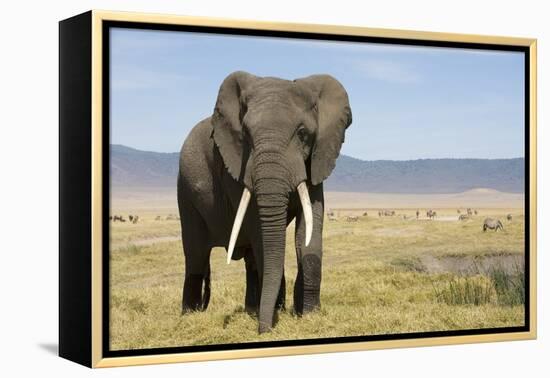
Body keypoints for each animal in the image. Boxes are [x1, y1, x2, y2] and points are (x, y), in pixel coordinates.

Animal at [177, 71, 354, 334]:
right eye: (246, 135)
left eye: (302, 133)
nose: (264, 330)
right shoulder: (236, 167)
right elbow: (260, 232)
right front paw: (276, 315)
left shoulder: (316, 160)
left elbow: (309, 229)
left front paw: (308, 314)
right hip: (185, 191)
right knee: (196, 255)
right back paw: (189, 316)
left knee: (249, 259)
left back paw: (252, 309)